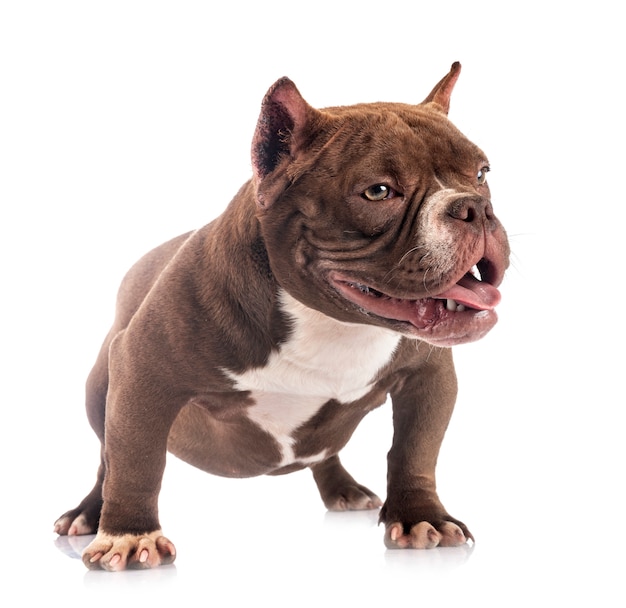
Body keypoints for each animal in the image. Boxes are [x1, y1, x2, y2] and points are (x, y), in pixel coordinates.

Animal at [54, 63, 508, 568]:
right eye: (378, 191)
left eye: (483, 173)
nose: (475, 207)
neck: (335, 325)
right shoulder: (142, 370)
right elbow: (136, 458)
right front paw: (130, 536)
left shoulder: (428, 375)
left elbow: (415, 450)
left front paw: (420, 516)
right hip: (99, 386)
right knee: (106, 456)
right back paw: (90, 511)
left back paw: (344, 489)